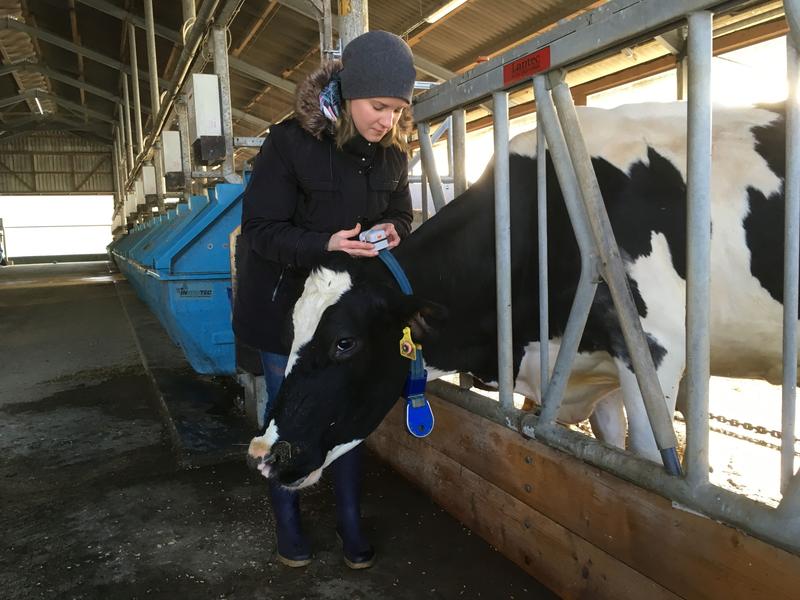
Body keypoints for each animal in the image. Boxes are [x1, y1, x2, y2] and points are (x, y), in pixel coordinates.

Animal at [248, 102, 792, 488]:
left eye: (344, 343)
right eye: (292, 329)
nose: (263, 454)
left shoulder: (654, 349)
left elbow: (645, 456)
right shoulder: (597, 366)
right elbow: (613, 445)